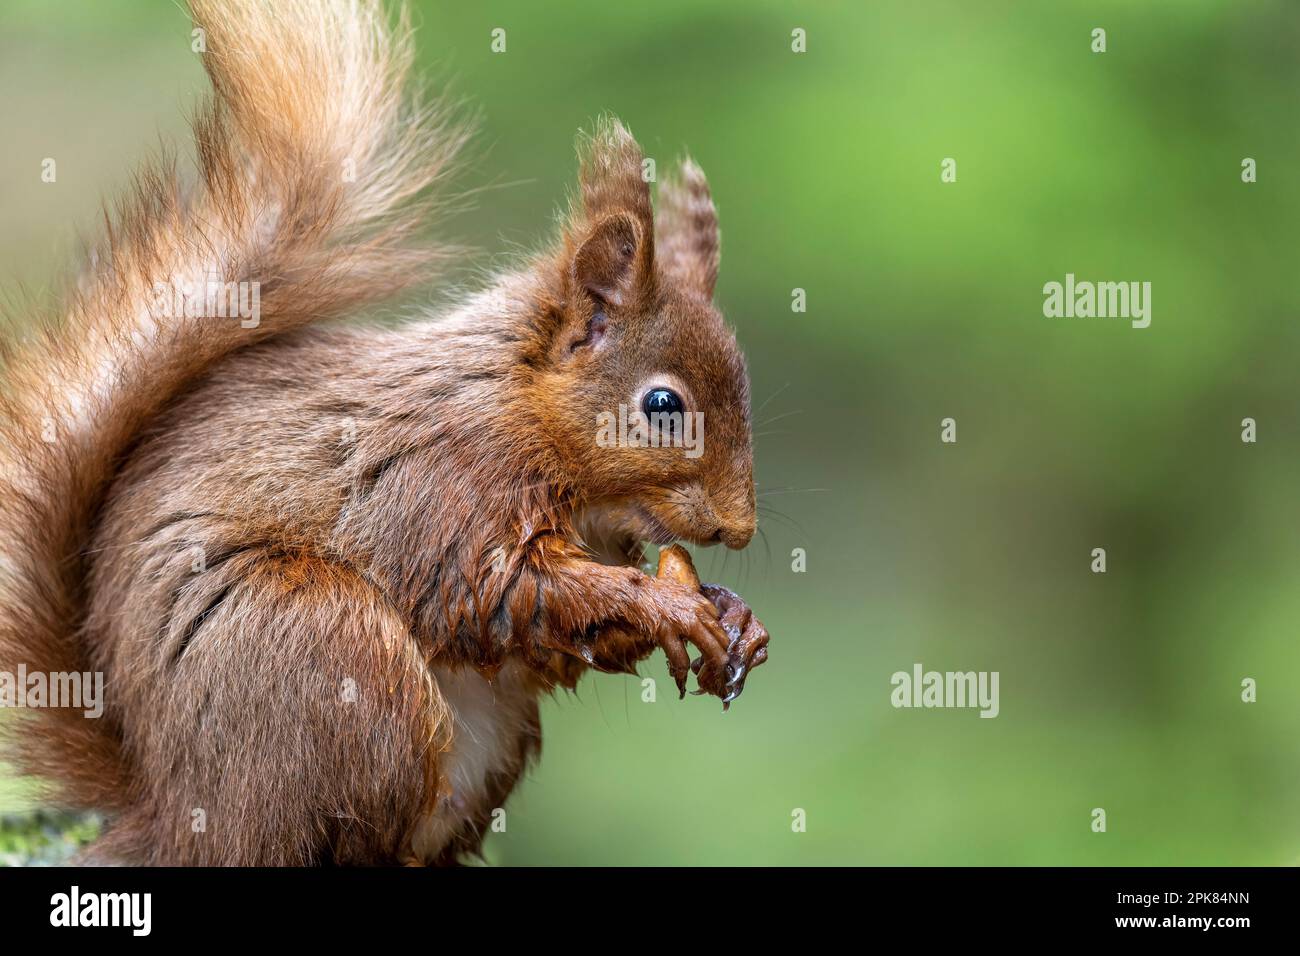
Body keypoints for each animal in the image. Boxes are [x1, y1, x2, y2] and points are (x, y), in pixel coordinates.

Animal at [0, 0, 764, 868]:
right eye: (663, 405)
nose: (740, 529)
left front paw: (732, 613)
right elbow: (501, 592)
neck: (521, 411)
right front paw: (668, 604)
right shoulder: (443, 486)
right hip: (313, 641)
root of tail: (168, 814)